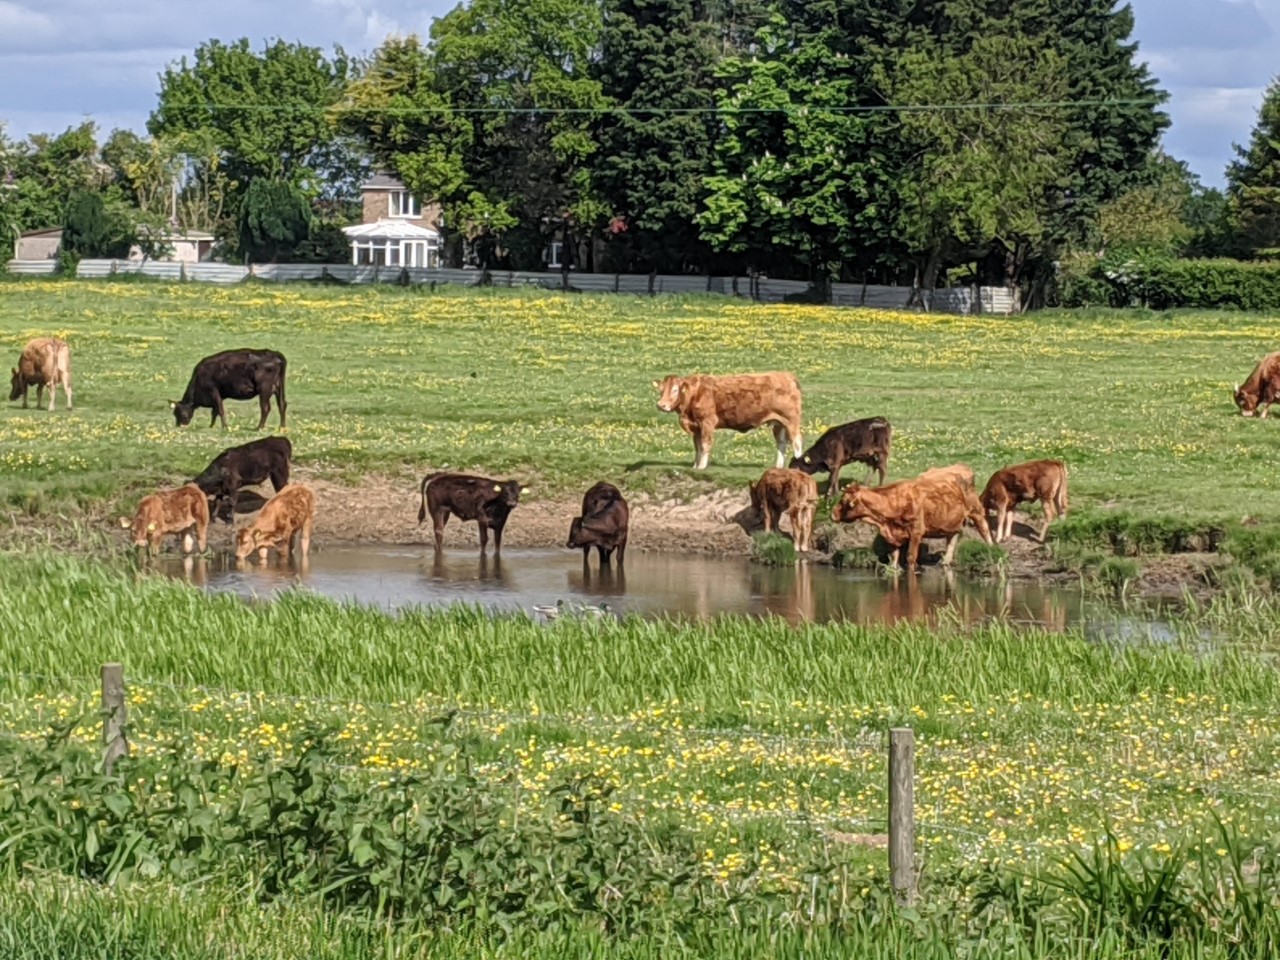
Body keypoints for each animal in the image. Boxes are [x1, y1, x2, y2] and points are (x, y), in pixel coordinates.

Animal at [654, 372, 803, 470]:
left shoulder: (707, 422)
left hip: (791, 421)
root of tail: (787, 375)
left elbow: (705, 444)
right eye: (661, 390)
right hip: (779, 423)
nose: (661, 405)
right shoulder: (696, 427)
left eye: (675, 390)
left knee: (796, 442)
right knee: (781, 443)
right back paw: (778, 467)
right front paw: (695, 466)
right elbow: (697, 447)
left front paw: (701, 466)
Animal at [832, 472, 992, 571]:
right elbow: (894, 558)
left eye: (843, 501)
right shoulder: (892, 534)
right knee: (952, 539)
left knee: (984, 529)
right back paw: (945, 562)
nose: (832, 513)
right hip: (951, 523)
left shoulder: (916, 531)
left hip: (976, 510)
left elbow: (910, 557)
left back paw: (992, 548)